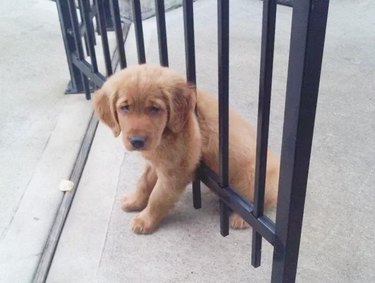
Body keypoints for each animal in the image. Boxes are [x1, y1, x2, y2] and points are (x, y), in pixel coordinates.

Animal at [92, 65, 278, 235]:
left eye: (154, 108)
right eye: (125, 107)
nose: (137, 141)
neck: (167, 132)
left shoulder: (176, 172)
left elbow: (158, 197)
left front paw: (145, 220)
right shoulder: (158, 161)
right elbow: (144, 181)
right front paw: (135, 201)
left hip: (253, 178)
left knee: (258, 206)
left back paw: (239, 218)